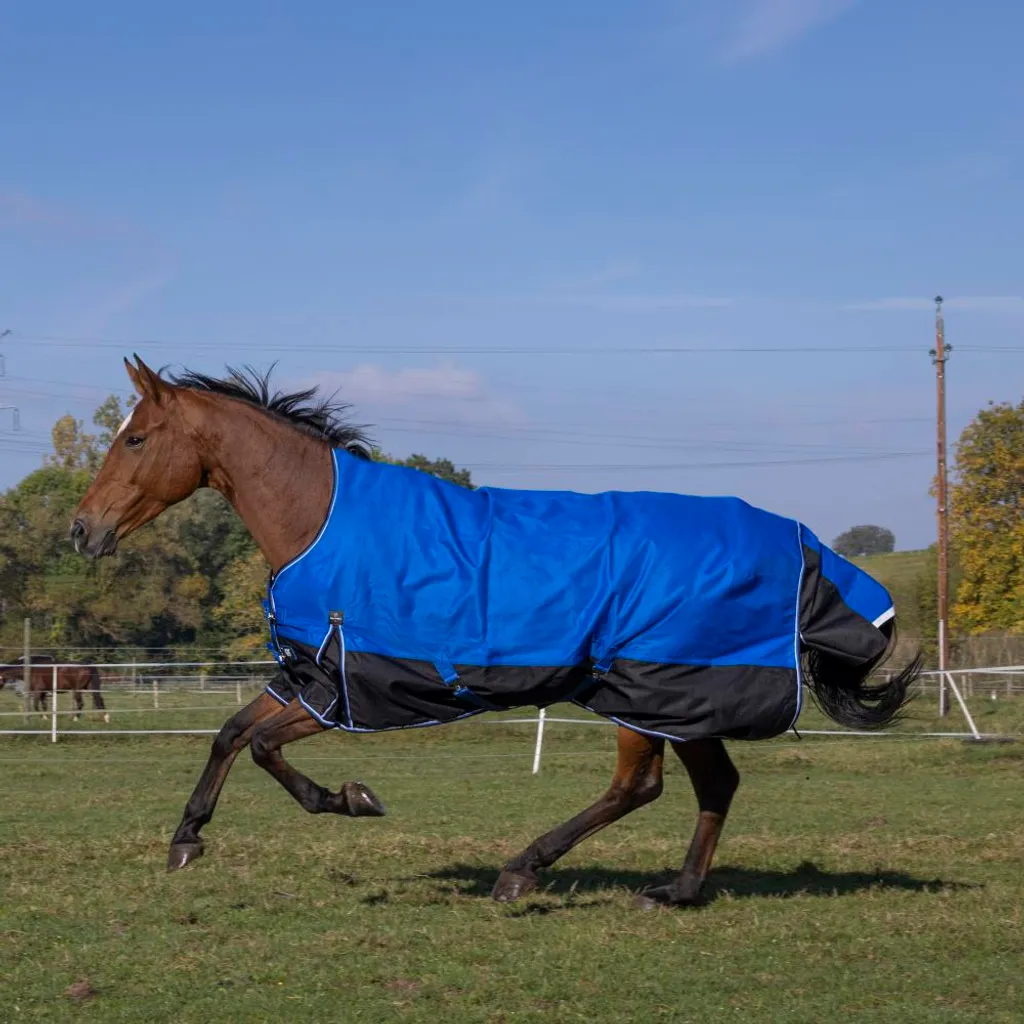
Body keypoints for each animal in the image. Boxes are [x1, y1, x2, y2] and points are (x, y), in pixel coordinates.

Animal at [69, 355, 921, 909]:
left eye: (135, 438)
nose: (82, 530)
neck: (319, 518)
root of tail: (801, 545)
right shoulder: (308, 677)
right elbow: (229, 734)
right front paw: (187, 839)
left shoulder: (342, 689)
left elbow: (264, 749)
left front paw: (352, 798)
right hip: (678, 700)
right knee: (715, 785)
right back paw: (674, 891)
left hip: (644, 691)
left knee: (639, 786)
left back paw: (522, 872)